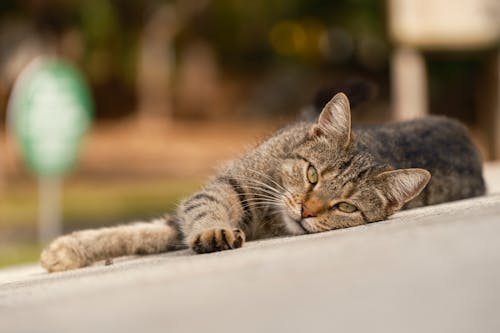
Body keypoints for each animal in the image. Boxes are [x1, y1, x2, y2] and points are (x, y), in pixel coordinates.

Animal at [41, 92, 486, 272]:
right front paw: (68, 250)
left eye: (345, 207)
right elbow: (133, 232)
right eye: (312, 175)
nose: (306, 210)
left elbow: (143, 233)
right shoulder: (216, 190)